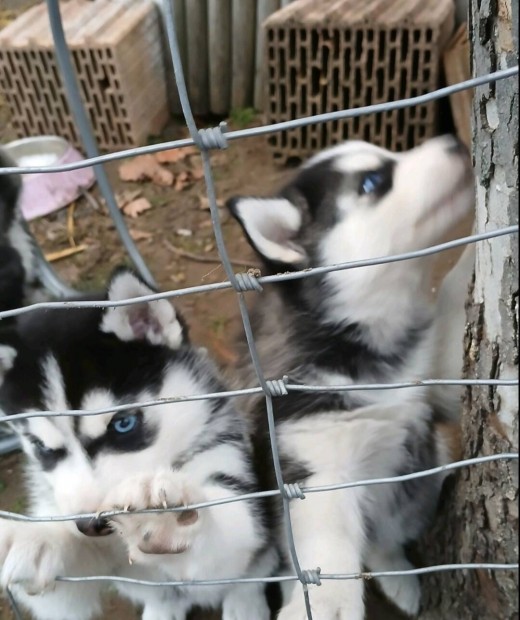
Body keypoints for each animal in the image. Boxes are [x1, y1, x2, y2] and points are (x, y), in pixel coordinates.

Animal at [0, 268, 276, 620]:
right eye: (42, 448)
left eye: (124, 424)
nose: (91, 525)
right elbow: (66, 593)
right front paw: (34, 536)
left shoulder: (230, 466)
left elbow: (228, 545)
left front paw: (161, 515)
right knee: (161, 597)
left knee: (251, 578)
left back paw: (245, 605)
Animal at [228, 136, 476, 620]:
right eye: (373, 181)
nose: (453, 141)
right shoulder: (318, 460)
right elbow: (327, 543)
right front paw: (326, 604)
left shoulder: (433, 376)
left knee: (386, 540)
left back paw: (400, 578)